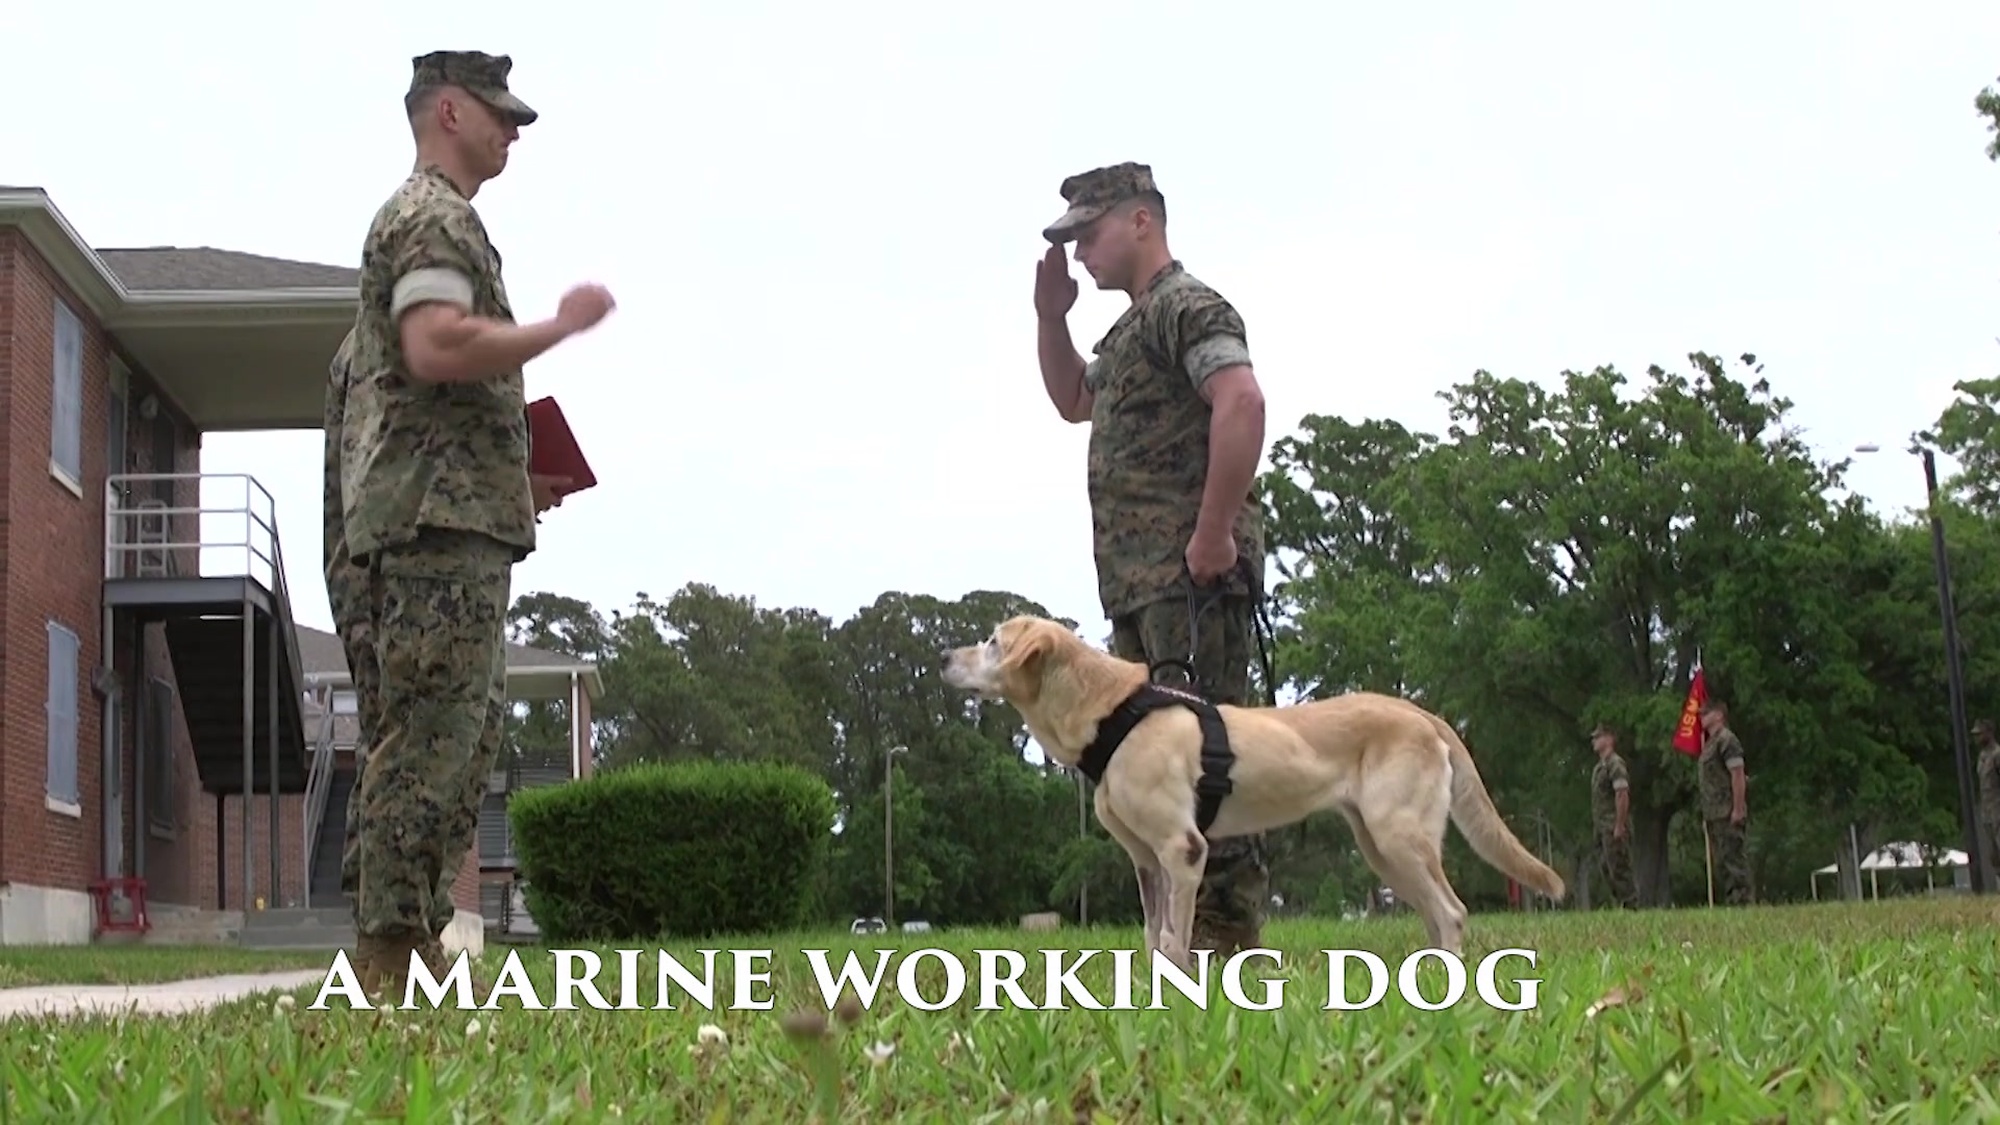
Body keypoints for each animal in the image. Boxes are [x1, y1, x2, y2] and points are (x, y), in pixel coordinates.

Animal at [944, 608, 1568, 968]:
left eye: (994, 642)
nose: (945, 655)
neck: (1113, 713)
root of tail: (1422, 714)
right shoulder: (1145, 858)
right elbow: (1151, 934)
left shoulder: (1183, 849)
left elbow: (1174, 940)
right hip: (1384, 851)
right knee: (1437, 916)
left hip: (1399, 838)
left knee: (1454, 912)